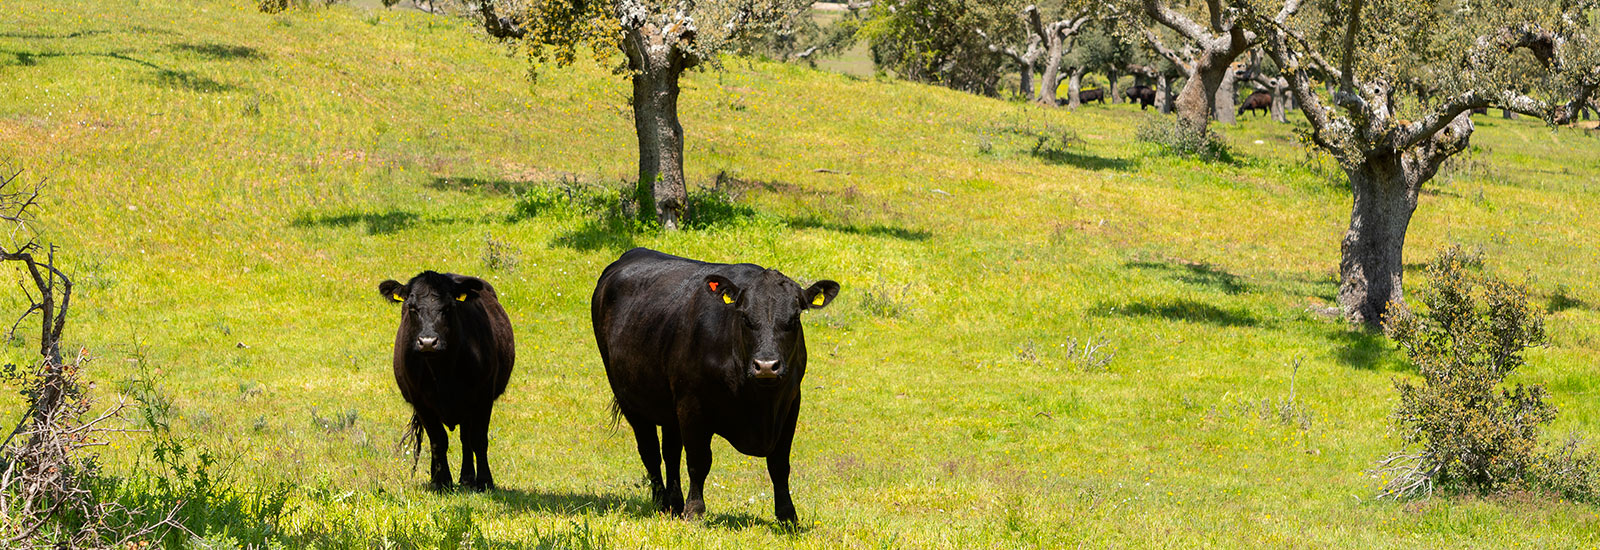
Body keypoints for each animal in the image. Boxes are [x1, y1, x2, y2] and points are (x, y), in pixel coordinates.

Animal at [376, 270, 512, 489]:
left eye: (448, 307)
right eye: (411, 307)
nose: (428, 342)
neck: (443, 371)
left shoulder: (483, 396)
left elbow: (478, 438)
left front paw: (484, 481)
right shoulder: (421, 401)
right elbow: (438, 440)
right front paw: (441, 481)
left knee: (466, 438)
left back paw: (467, 477)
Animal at [588, 249, 838, 524]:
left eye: (794, 319)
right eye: (745, 318)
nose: (766, 366)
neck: (760, 403)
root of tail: (631, 255)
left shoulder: (790, 403)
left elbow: (779, 464)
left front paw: (787, 516)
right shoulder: (692, 405)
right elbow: (699, 460)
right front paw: (695, 510)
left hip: (670, 407)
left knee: (670, 452)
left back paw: (674, 503)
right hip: (630, 399)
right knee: (650, 452)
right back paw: (662, 502)